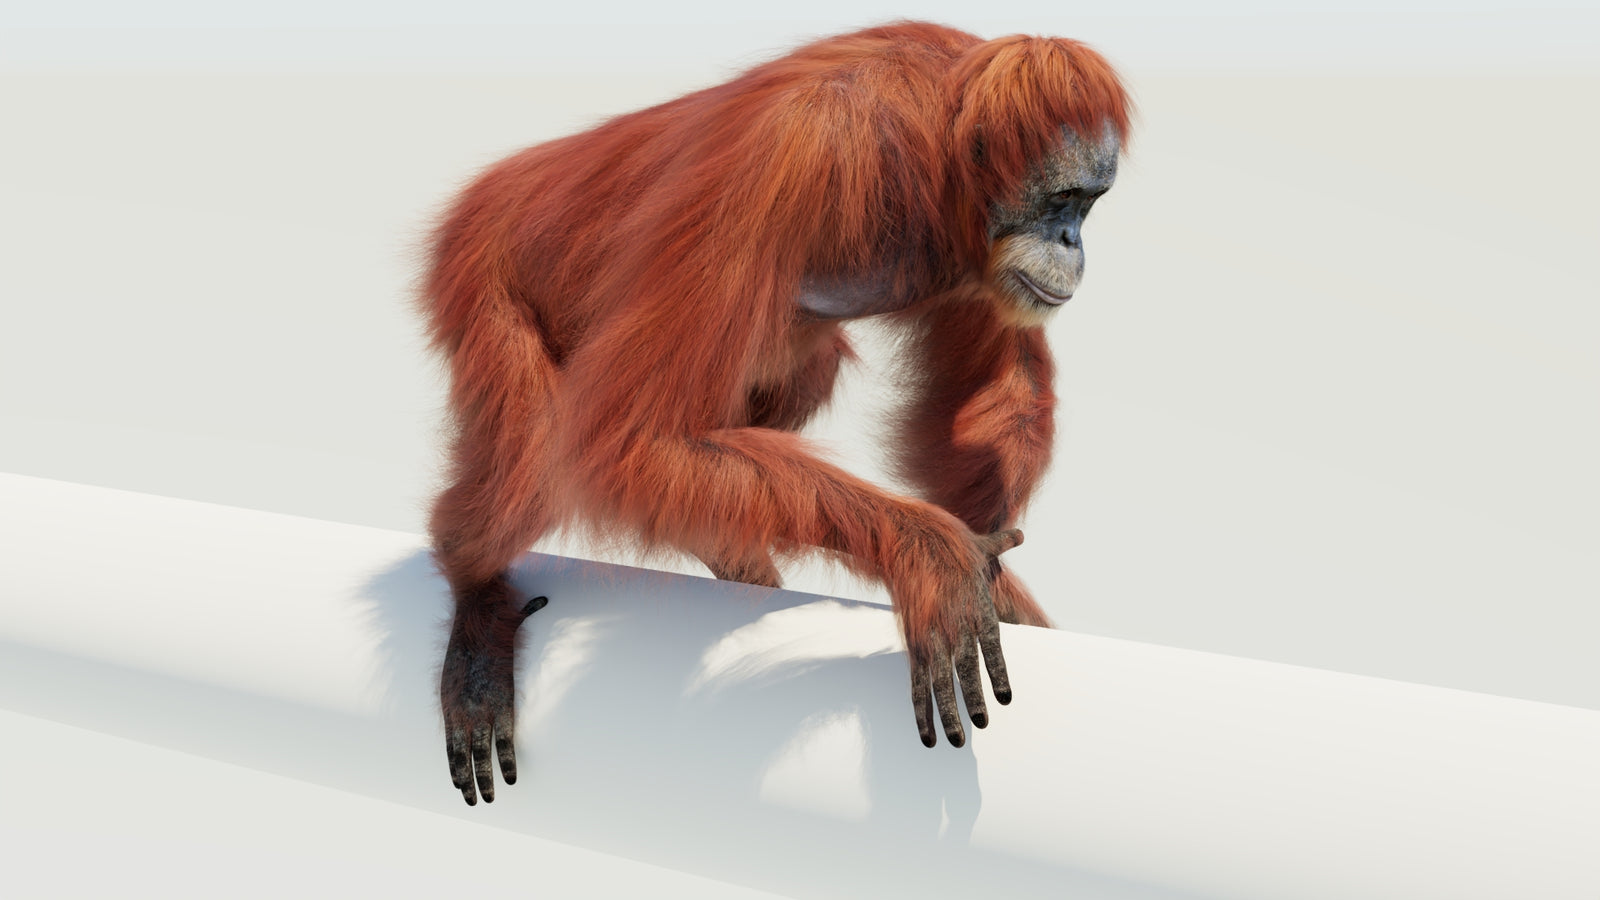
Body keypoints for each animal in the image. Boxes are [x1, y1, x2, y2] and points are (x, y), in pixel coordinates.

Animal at [421, 21, 1130, 805]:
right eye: (1061, 200)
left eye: (1089, 204)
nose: (1072, 241)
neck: (932, 150)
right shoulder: (791, 156)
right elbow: (630, 438)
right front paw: (933, 555)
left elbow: (991, 386)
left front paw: (989, 562)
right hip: (482, 274)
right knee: (533, 459)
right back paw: (477, 599)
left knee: (800, 370)